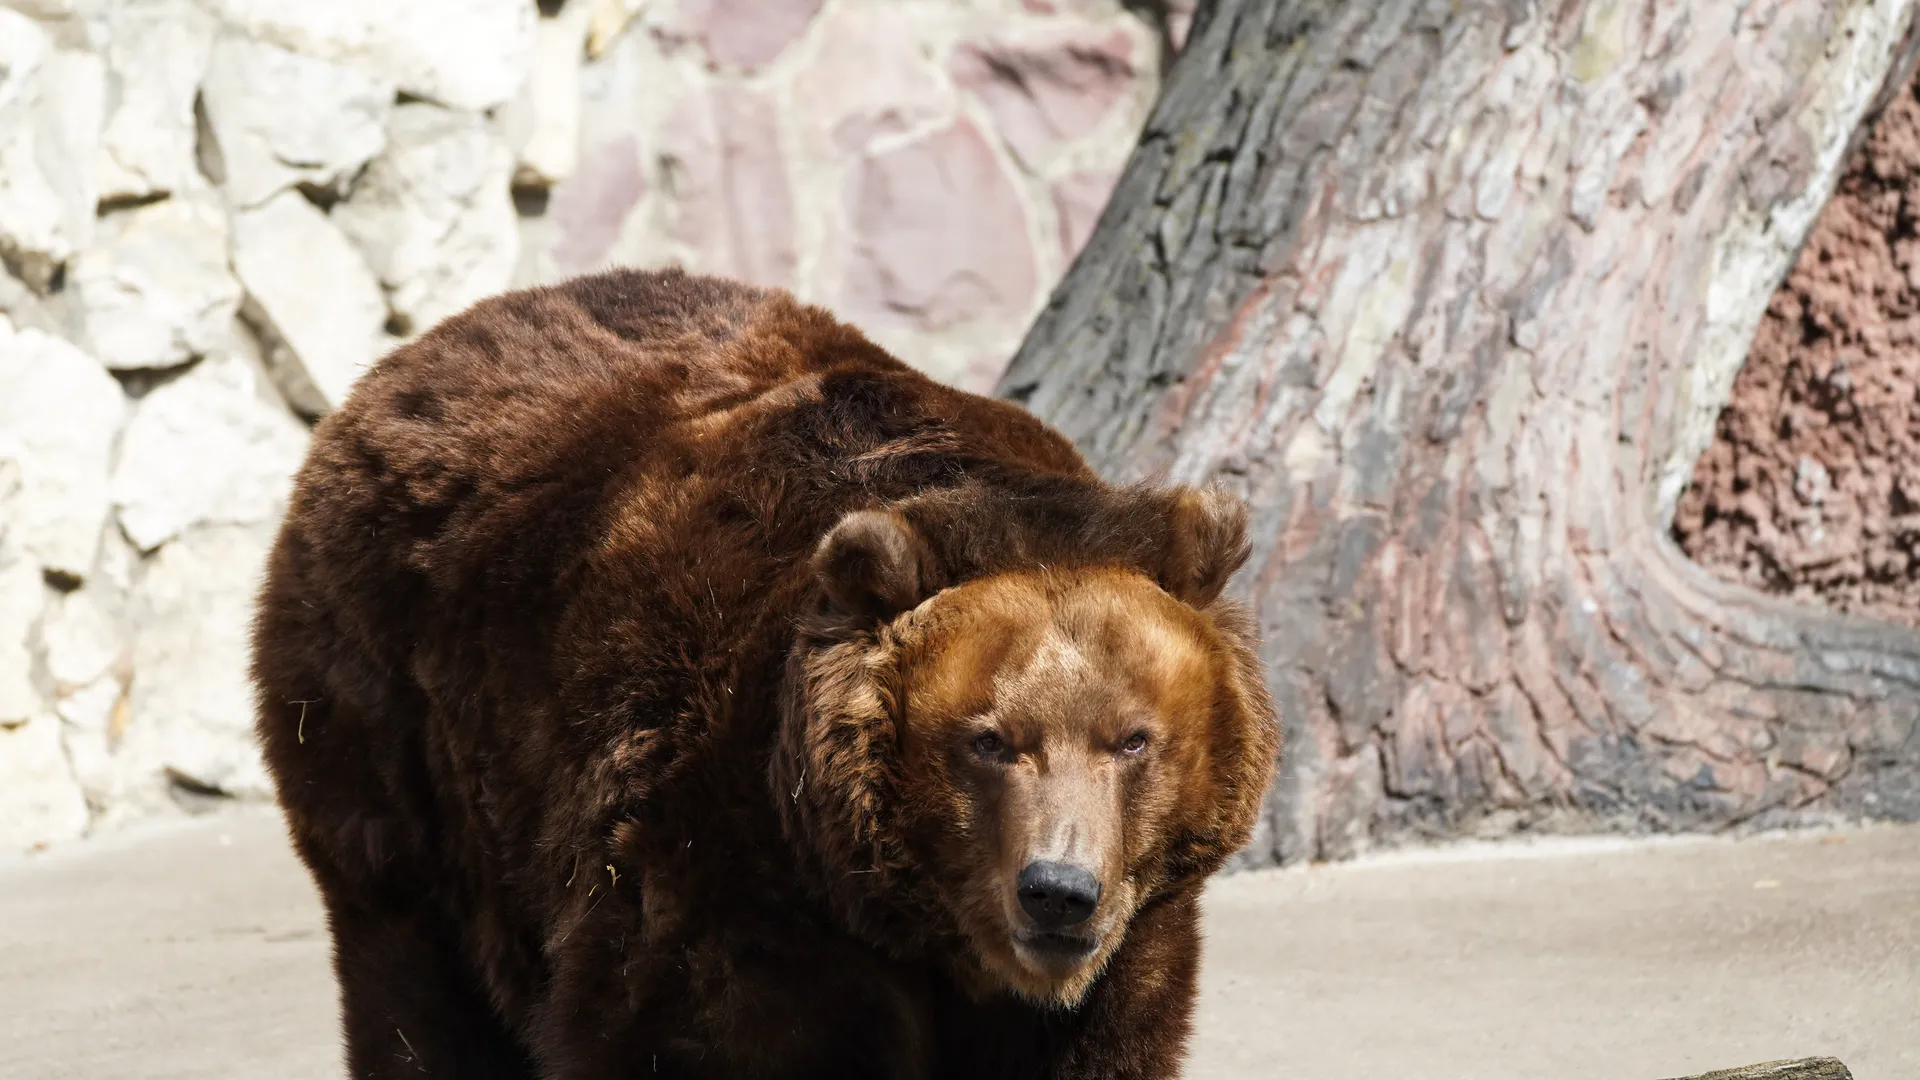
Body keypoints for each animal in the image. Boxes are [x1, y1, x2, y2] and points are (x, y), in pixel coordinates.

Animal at [251, 267, 1280, 1080]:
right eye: (988, 740)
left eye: (1134, 739)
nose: (1057, 890)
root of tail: (407, 360)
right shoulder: (719, 860)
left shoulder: (1129, 946)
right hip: (398, 735)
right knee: (415, 978)